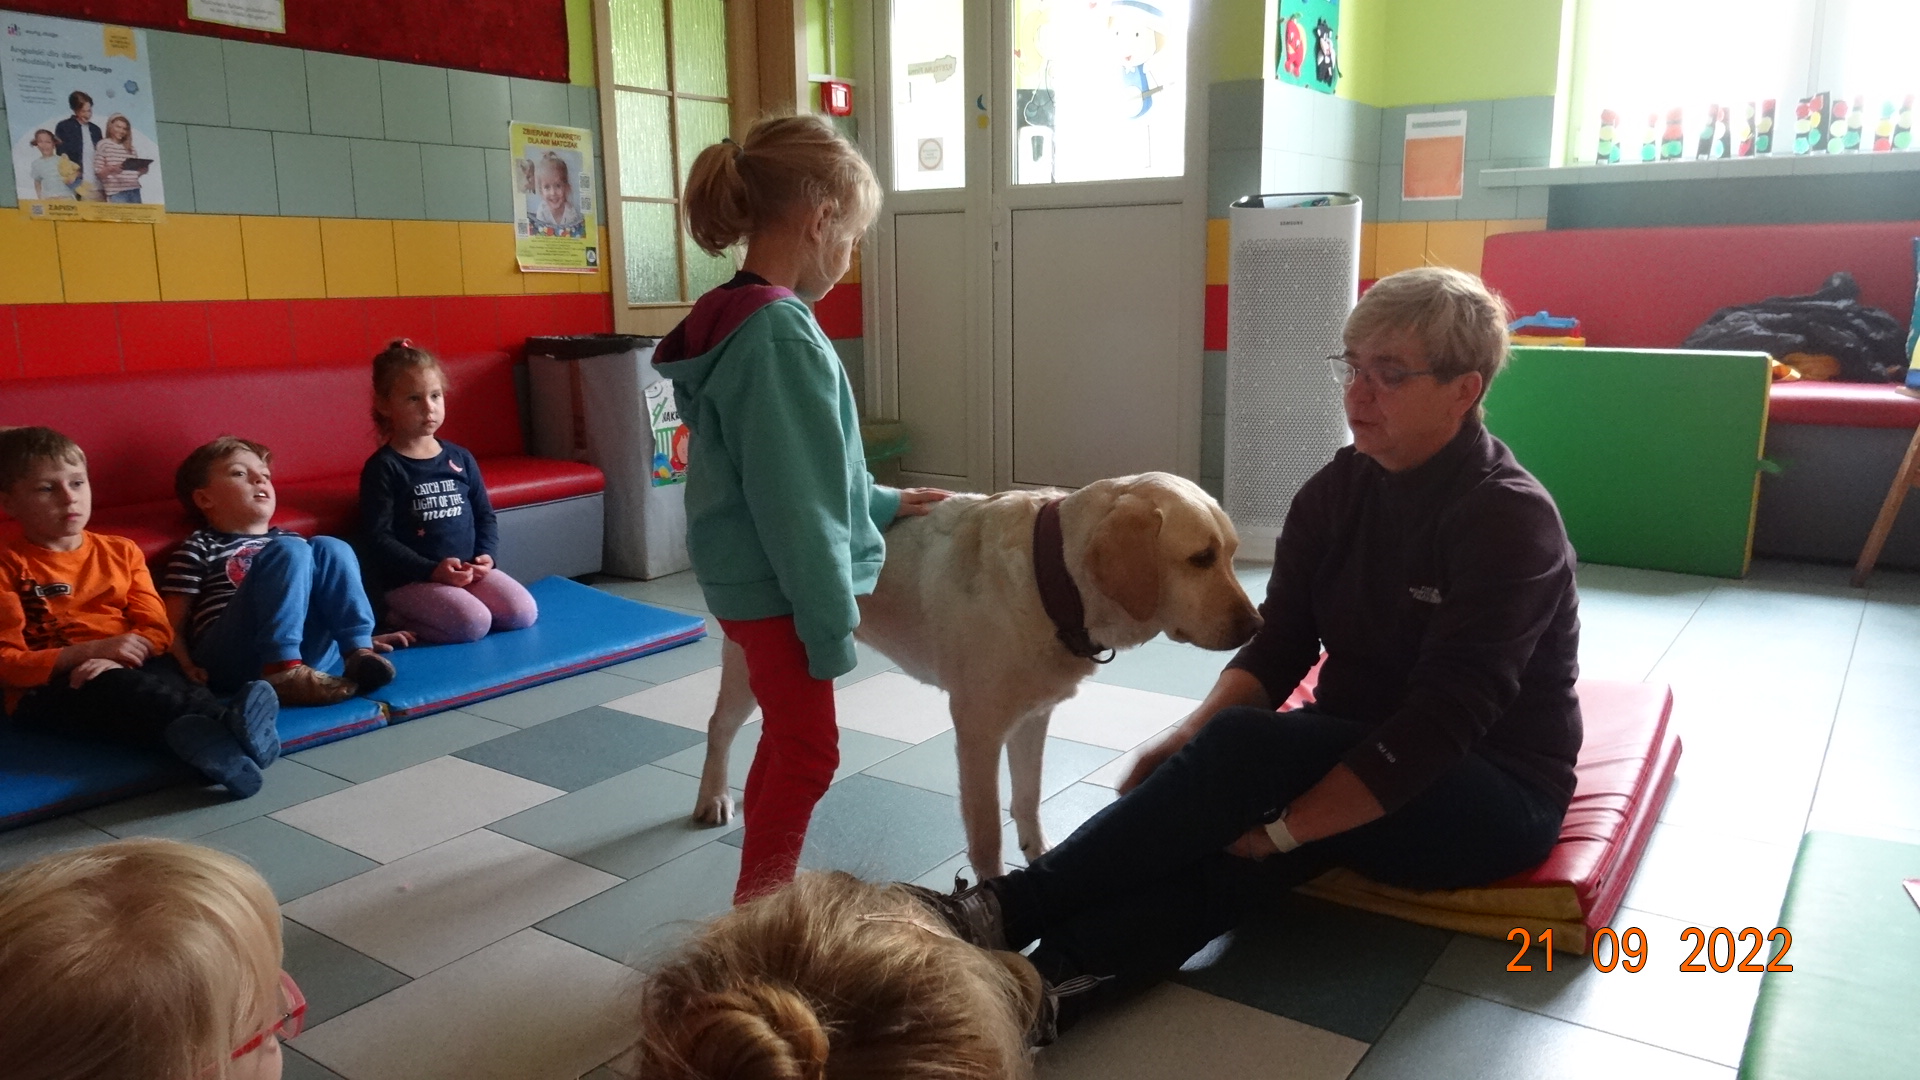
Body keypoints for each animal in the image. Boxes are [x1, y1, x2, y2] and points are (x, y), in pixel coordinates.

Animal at [692, 472, 1262, 880]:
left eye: (1233, 554)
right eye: (1201, 558)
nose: (1256, 626)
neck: (1053, 582)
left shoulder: (1033, 719)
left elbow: (1028, 797)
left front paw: (1040, 854)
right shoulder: (978, 733)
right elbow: (987, 834)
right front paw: (991, 895)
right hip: (751, 661)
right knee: (719, 727)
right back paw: (713, 797)